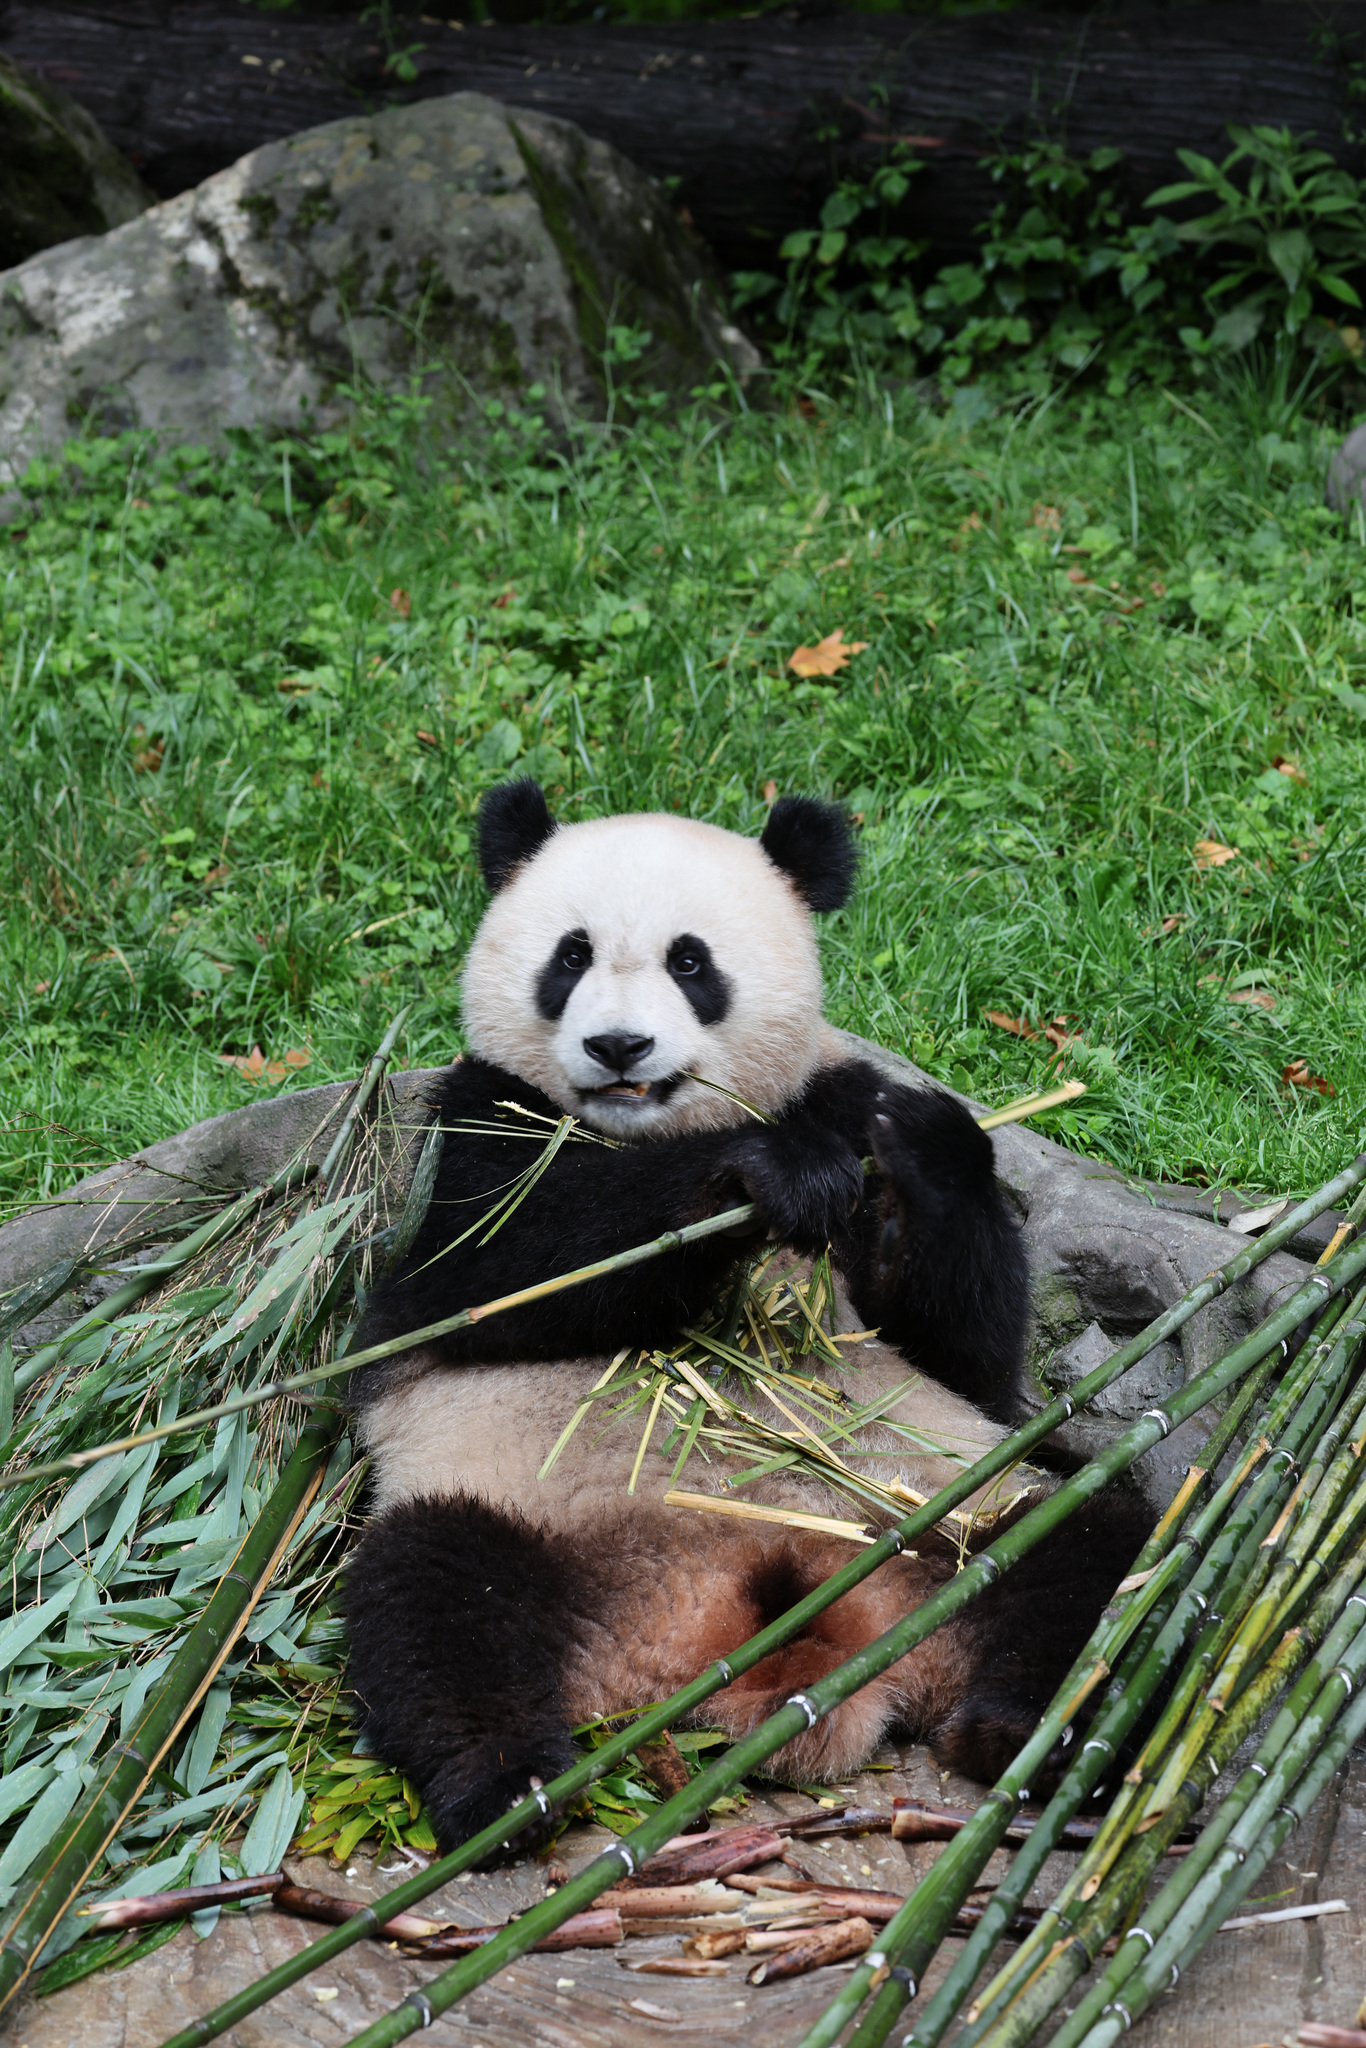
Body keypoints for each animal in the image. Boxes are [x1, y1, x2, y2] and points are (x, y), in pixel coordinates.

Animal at [344, 780, 1149, 1853]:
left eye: (691, 962)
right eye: (571, 956)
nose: (618, 1047)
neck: (659, 1126)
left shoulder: (837, 1094)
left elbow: (961, 1352)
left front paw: (927, 1146)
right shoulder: (475, 1125)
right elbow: (498, 1274)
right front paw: (758, 1175)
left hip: (951, 1514)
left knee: (1095, 1552)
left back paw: (1029, 1736)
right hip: (509, 1505)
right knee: (433, 1603)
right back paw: (506, 1788)